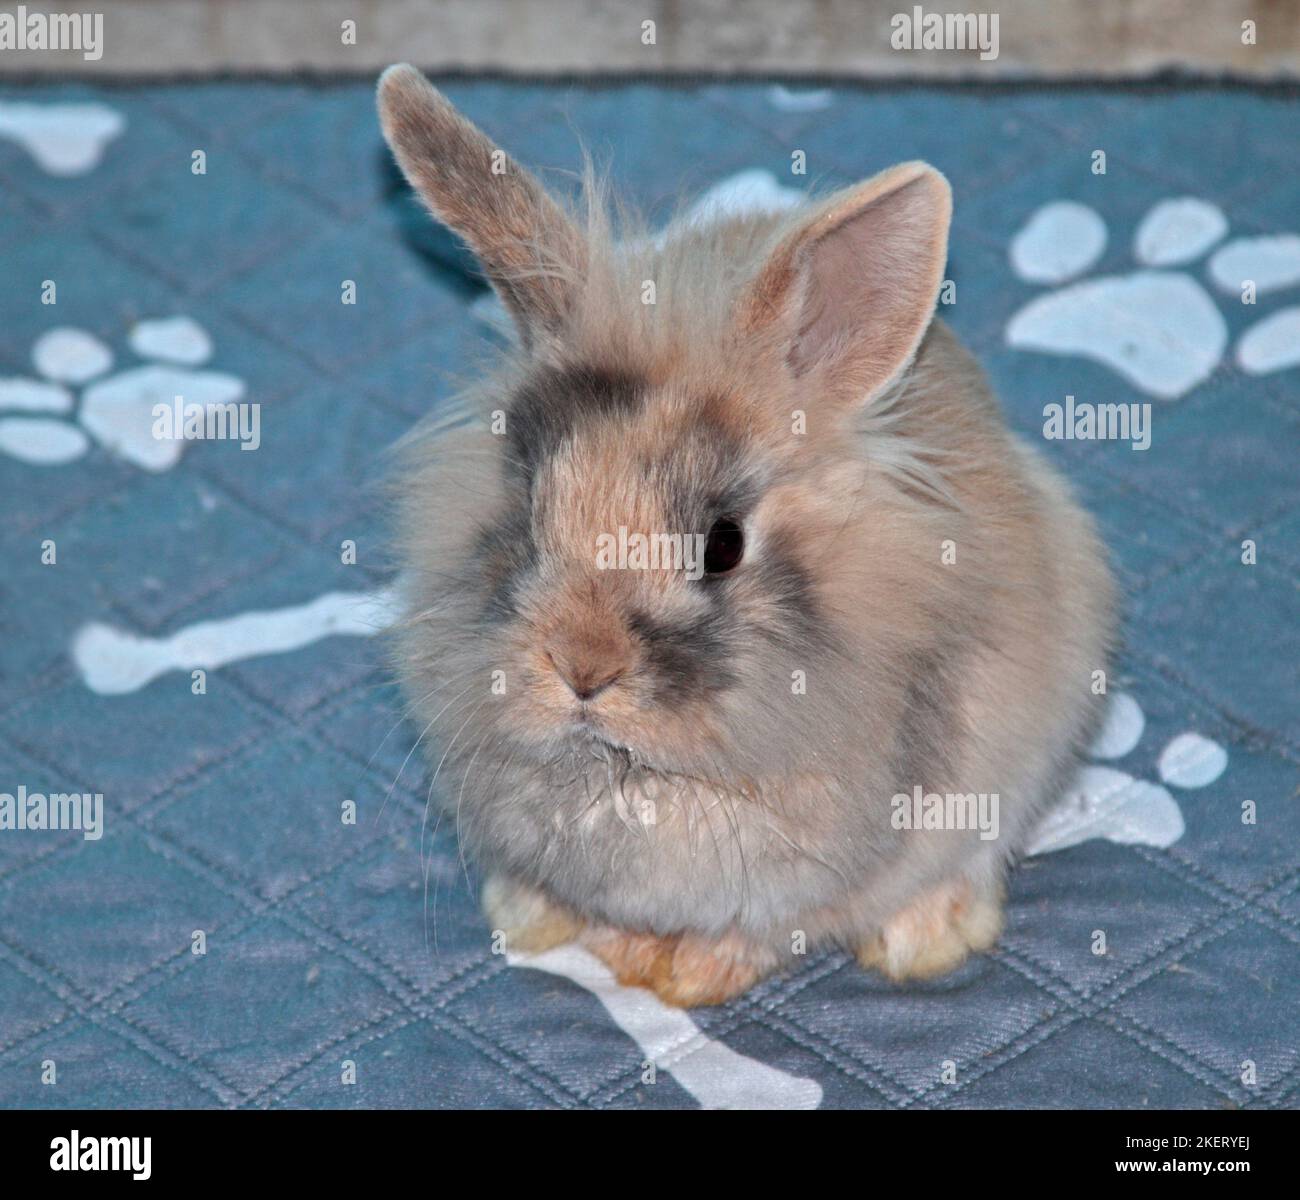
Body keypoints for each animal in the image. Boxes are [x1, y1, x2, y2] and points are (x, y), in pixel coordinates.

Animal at [377, 65, 1115, 1007]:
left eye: (721, 545)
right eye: (529, 511)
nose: (582, 669)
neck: (638, 775)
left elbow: (765, 928)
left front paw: (692, 977)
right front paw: (586, 937)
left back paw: (928, 936)